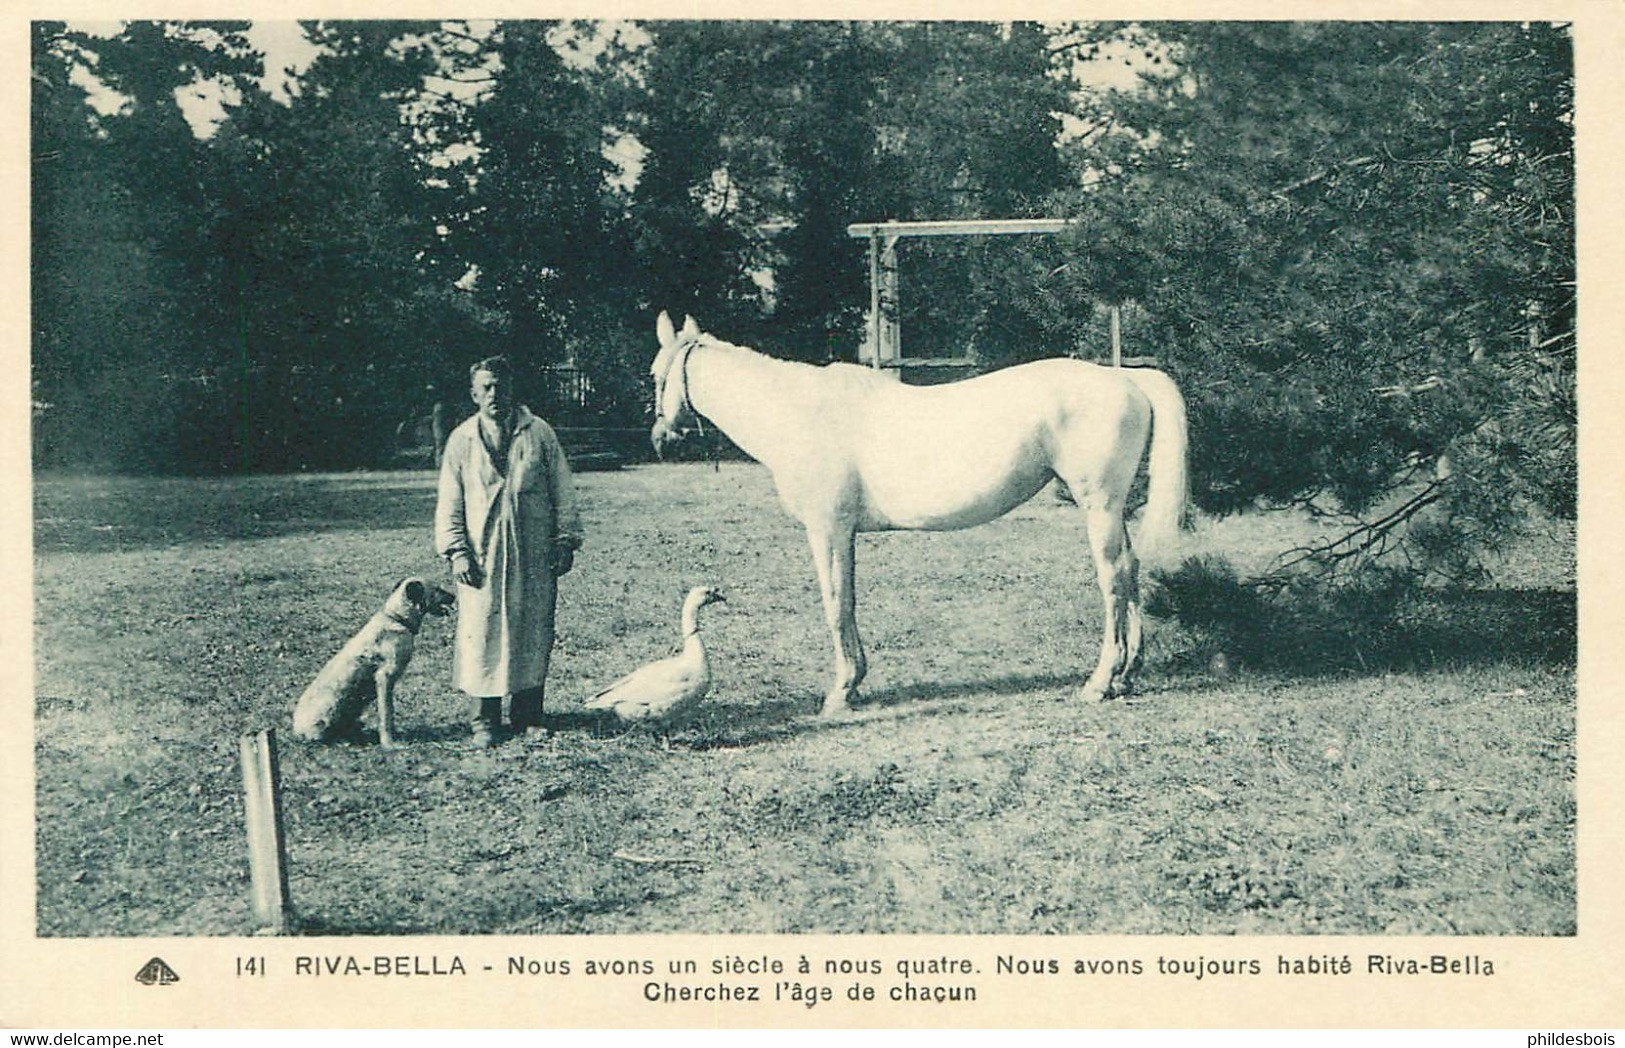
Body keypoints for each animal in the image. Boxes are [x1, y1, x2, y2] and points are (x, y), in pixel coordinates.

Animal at [290, 575, 455, 747]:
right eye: (437, 589)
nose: (454, 596)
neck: (397, 618)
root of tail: (296, 730)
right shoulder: (384, 677)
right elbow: (386, 714)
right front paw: (389, 743)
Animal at [650, 310, 1196, 718]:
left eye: (656, 375)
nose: (660, 439)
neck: (799, 413)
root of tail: (1124, 377)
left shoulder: (828, 529)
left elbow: (834, 604)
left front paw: (839, 693)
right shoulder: (845, 534)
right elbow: (849, 601)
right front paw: (855, 681)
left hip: (1098, 504)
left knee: (1113, 577)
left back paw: (1101, 681)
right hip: (1113, 509)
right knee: (1131, 570)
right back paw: (1127, 676)